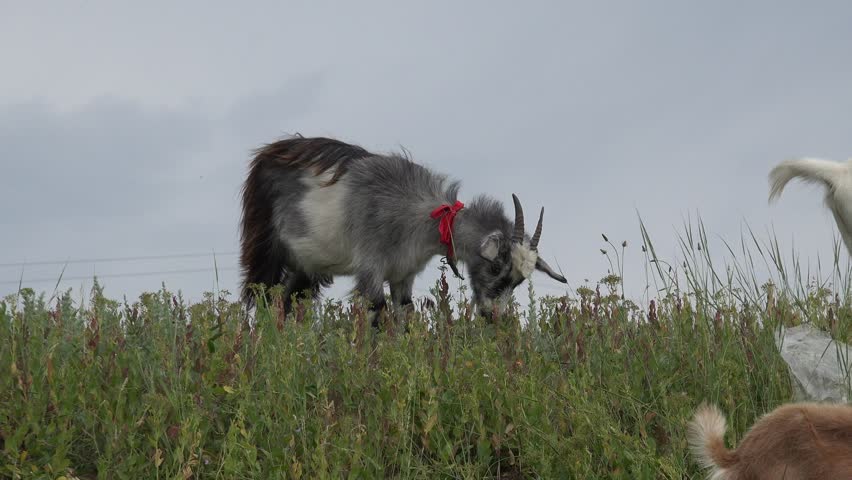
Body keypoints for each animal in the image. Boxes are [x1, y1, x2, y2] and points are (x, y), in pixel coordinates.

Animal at [239, 135, 567, 326]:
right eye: (497, 266)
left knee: (285, 302)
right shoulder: (370, 267)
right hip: (266, 247)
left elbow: (404, 316)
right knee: (262, 297)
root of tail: (268, 153)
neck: (423, 218)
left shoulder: (403, 275)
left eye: (519, 282)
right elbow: (376, 312)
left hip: (306, 265)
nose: (493, 315)